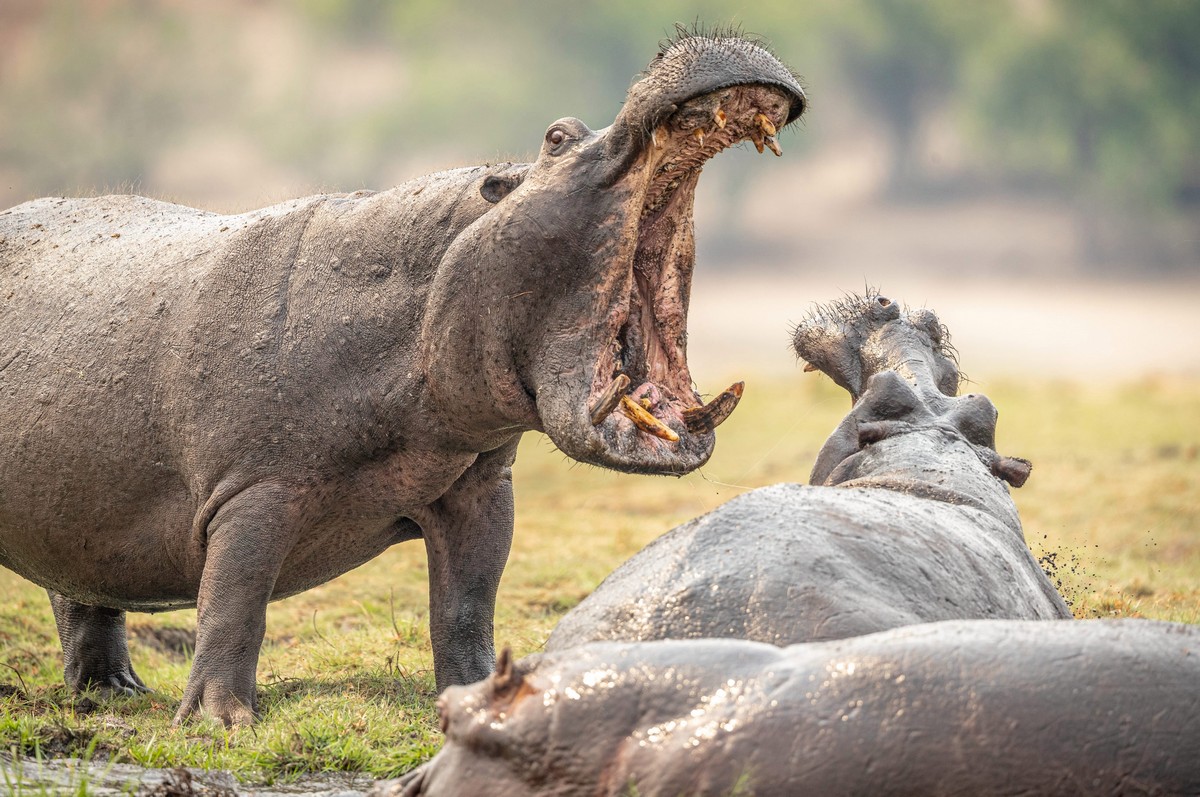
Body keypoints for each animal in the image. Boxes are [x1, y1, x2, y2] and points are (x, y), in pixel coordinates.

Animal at [2, 29, 806, 729]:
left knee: (81, 594)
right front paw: (222, 724)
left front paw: (477, 698)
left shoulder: (479, 488)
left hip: (80, 502)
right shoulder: (254, 491)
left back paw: (112, 693)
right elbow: (233, 605)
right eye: (555, 136)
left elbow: (467, 606)